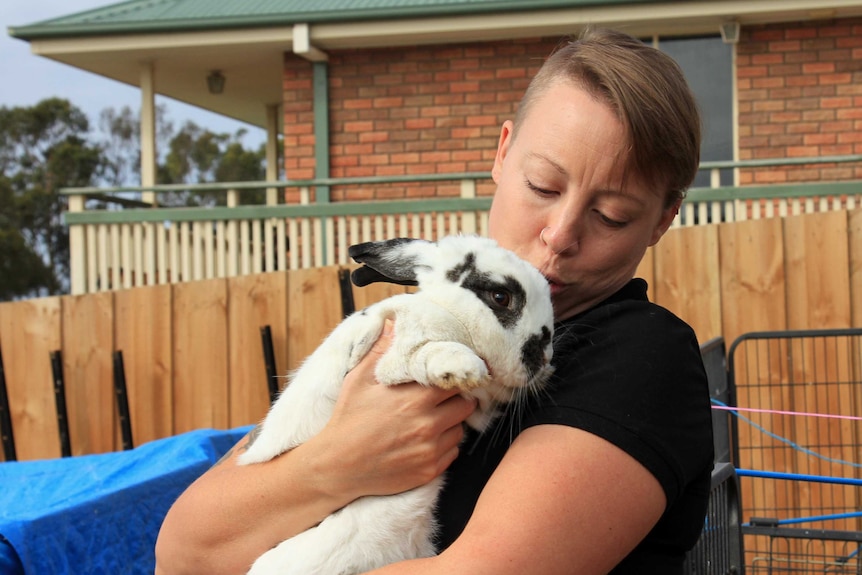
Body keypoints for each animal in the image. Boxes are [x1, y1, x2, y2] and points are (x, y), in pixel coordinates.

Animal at [240, 235, 556, 575]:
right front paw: (463, 369)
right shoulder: (396, 356)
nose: (545, 356)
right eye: (500, 296)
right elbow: (424, 354)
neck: (450, 314)